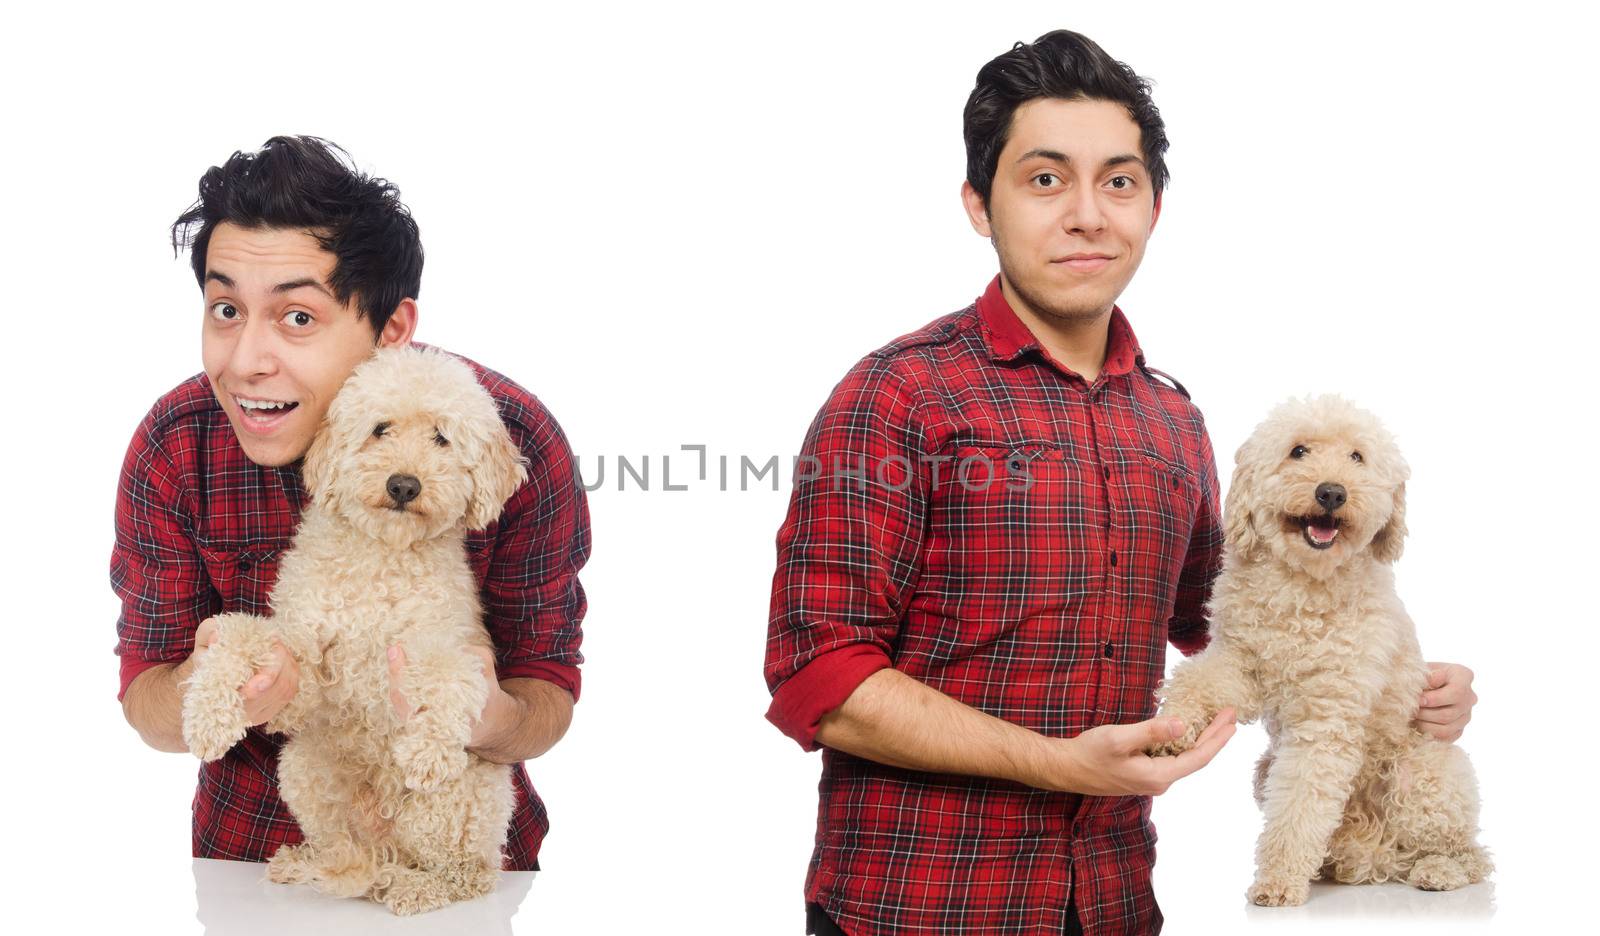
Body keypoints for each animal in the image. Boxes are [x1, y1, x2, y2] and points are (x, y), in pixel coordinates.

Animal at [180, 342, 531, 915]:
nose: (403, 484)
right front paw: (208, 717)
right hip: (304, 767)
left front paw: (429, 749)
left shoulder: (439, 642)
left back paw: (415, 887)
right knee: (346, 847)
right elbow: (239, 637)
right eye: (379, 429)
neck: (379, 558)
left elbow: (452, 676)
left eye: (441, 437)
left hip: (462, 800)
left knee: (467, 874)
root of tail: (383, 840)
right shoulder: (302, 665)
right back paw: (310, 862)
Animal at [1152, 393, 1484, 902]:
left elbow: (1300, 804)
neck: (1303, 589)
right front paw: (1175, 725)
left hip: (1426, 775)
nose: (1331, 493)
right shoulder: (1240, 662)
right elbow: (1198, 681)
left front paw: (1277, 880)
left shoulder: (1327, 717)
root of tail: (1376, 848)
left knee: (1471, 853)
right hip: (1266, 769)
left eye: (1357, 457)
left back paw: (1439, 870)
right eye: (1298, 451)